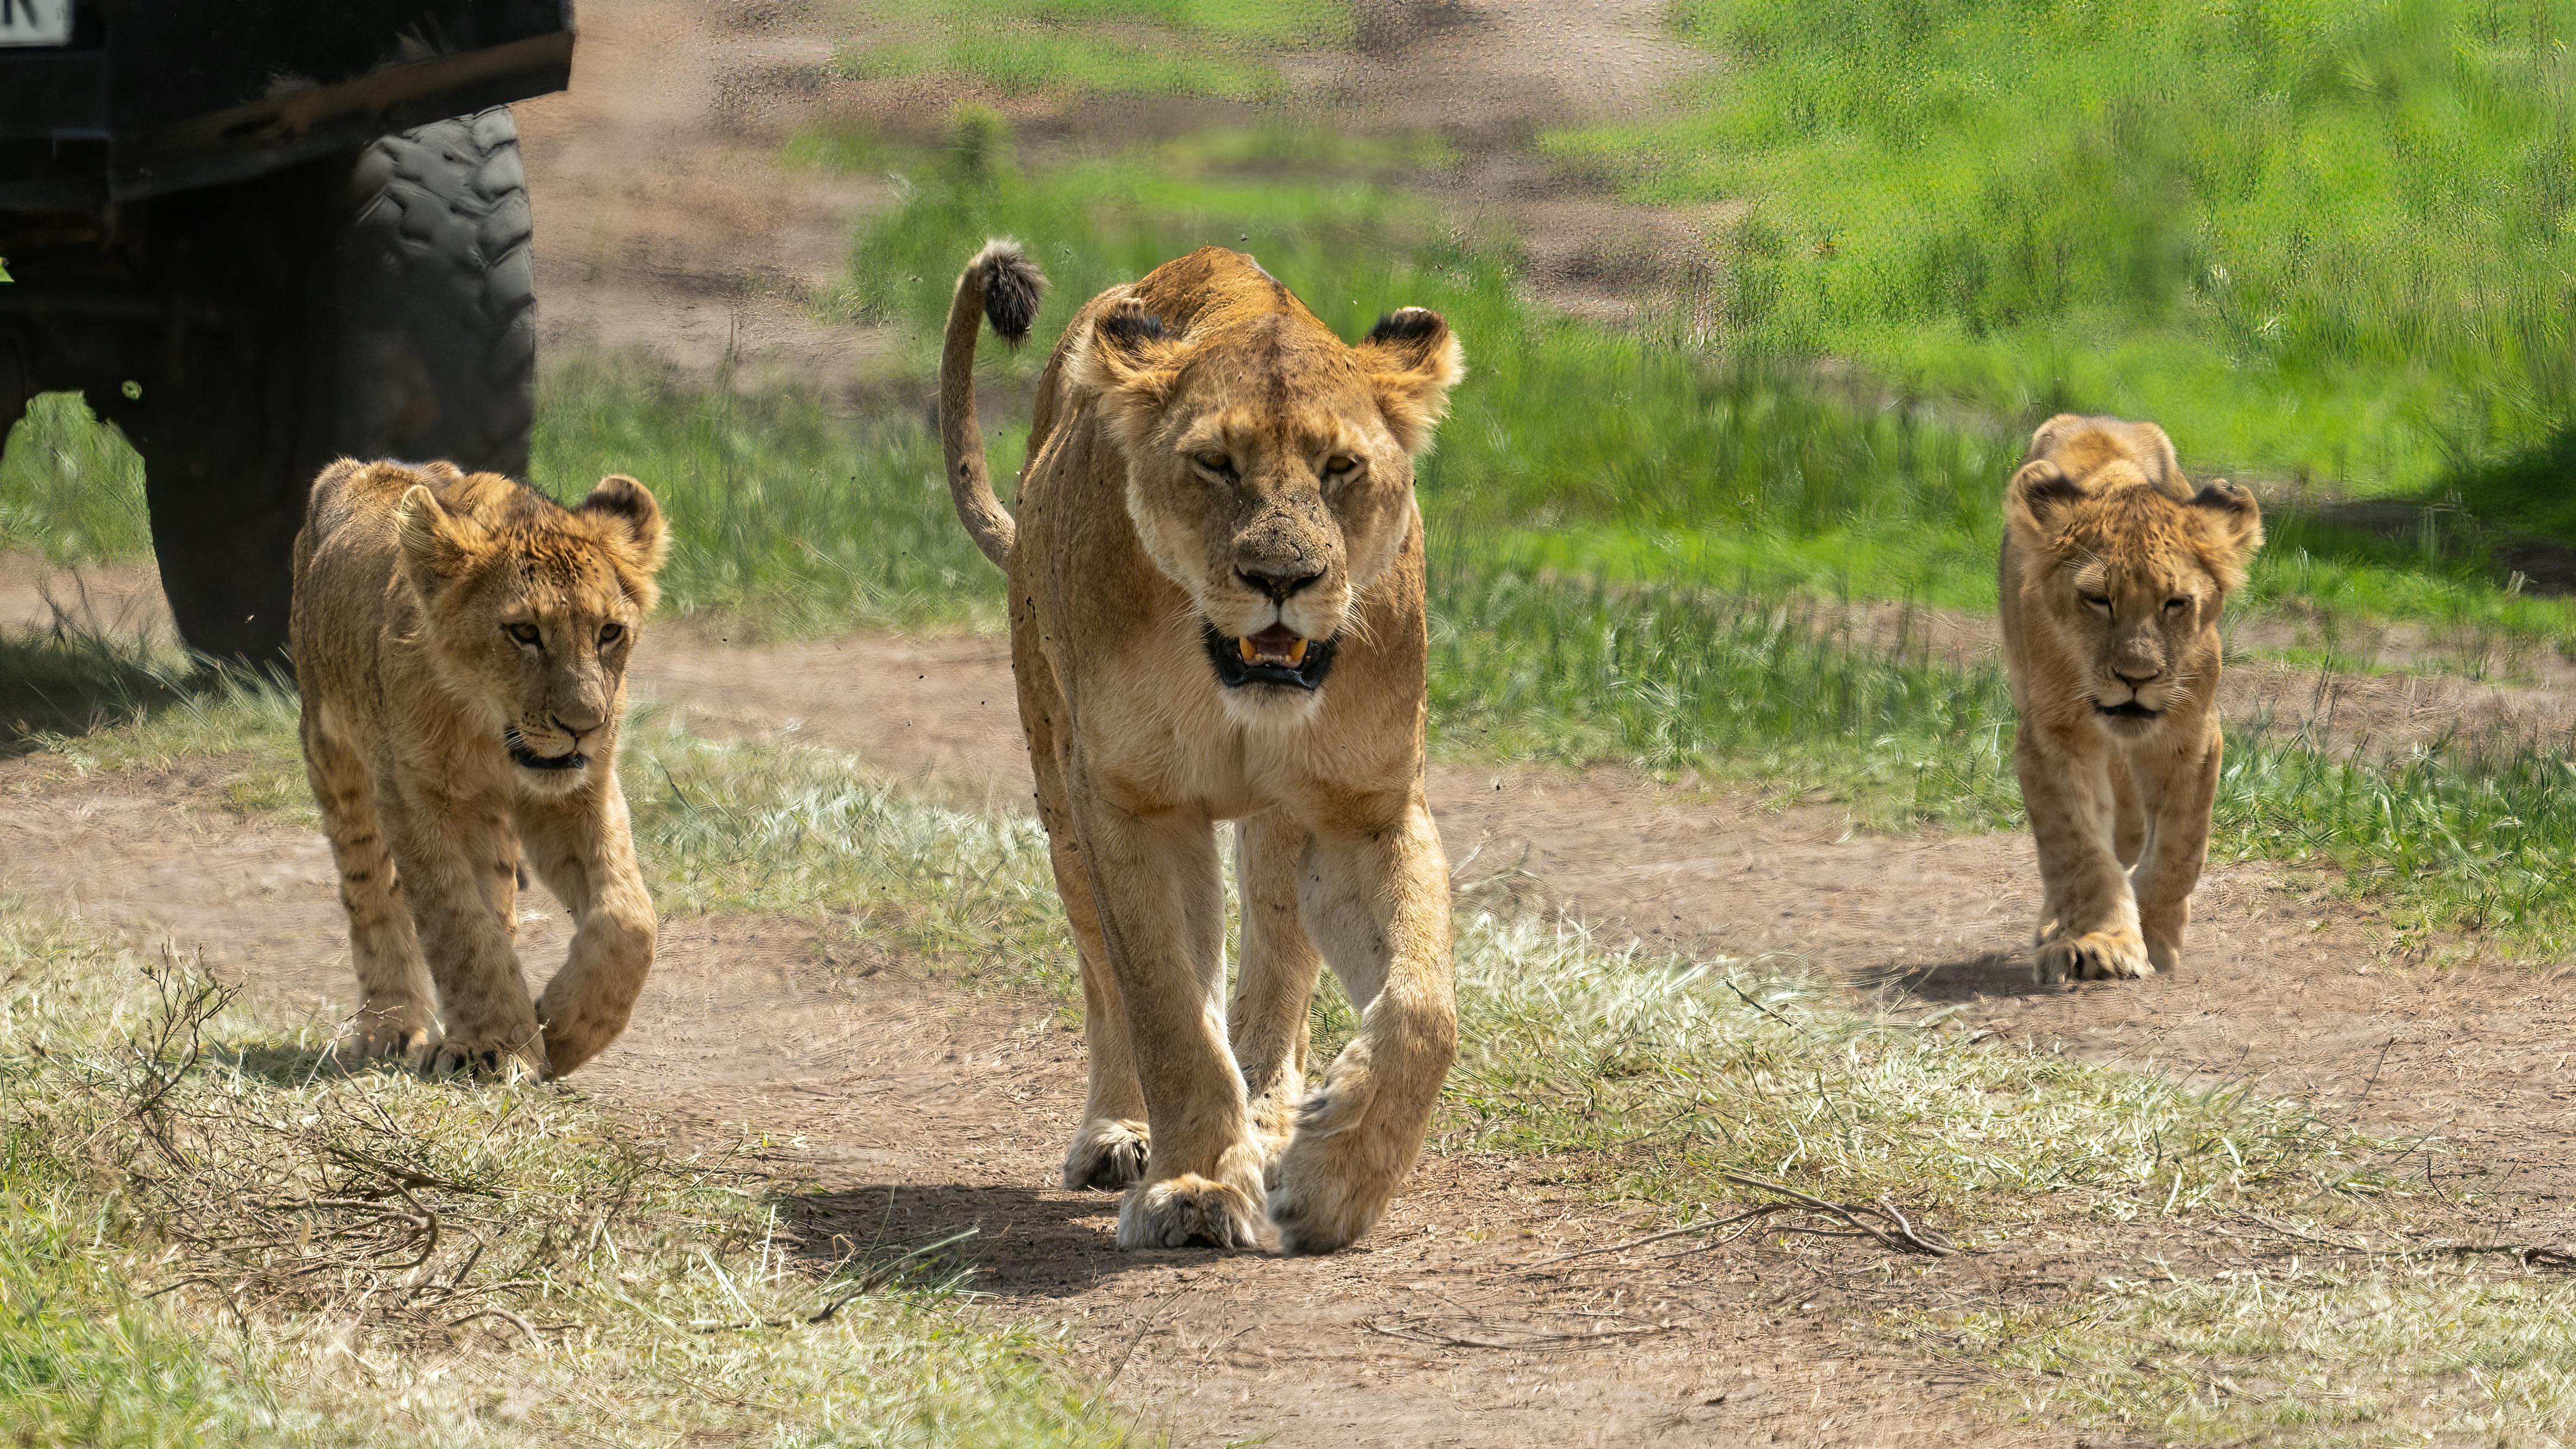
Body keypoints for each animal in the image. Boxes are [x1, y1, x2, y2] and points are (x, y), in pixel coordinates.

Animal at [290, 458, 668, 1078]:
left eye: (609, 632)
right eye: (525, 632)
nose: (585, 724)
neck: (488, 731)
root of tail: (369, 467)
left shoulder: (578, 790)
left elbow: (629, 918)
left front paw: (563, 1030)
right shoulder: (413, 797)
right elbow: (459, 925)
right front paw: (497, 1045)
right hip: (334, 756)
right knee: (370, 893)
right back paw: (391, 1027)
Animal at [939, 241, 1464, 1254]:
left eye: (1342, 466)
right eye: (1215, 464)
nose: (1281, 578)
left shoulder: (1365, 810)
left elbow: (1423, 1008)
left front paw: (1334, 1179)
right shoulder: (1132, 803)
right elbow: (1166, 1009)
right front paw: (1195, 1185)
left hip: (1277, 826)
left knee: (1276, 976)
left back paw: (1273, 1122)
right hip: (1061, 790)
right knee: (1109, 977)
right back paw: (1123, 1133)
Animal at [1999, 415, 2263, 982]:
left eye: (2175, 602)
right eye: (2098, 599)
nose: (2135, 677)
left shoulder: (2190, 733)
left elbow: (2178, 849)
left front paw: (2158, 938)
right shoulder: (2051, 735)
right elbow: (2075, 847)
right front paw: (2102, 942)